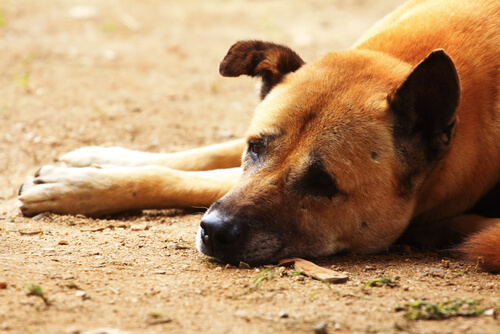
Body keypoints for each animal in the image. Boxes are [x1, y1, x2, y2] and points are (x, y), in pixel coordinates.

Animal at [18, 0, 500, 272]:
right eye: (256, 147)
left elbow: (182, 178)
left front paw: (77, 186)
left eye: (322, 182)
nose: (213, 232)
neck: (395, 58)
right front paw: (96, 160)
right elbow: (201, 154)